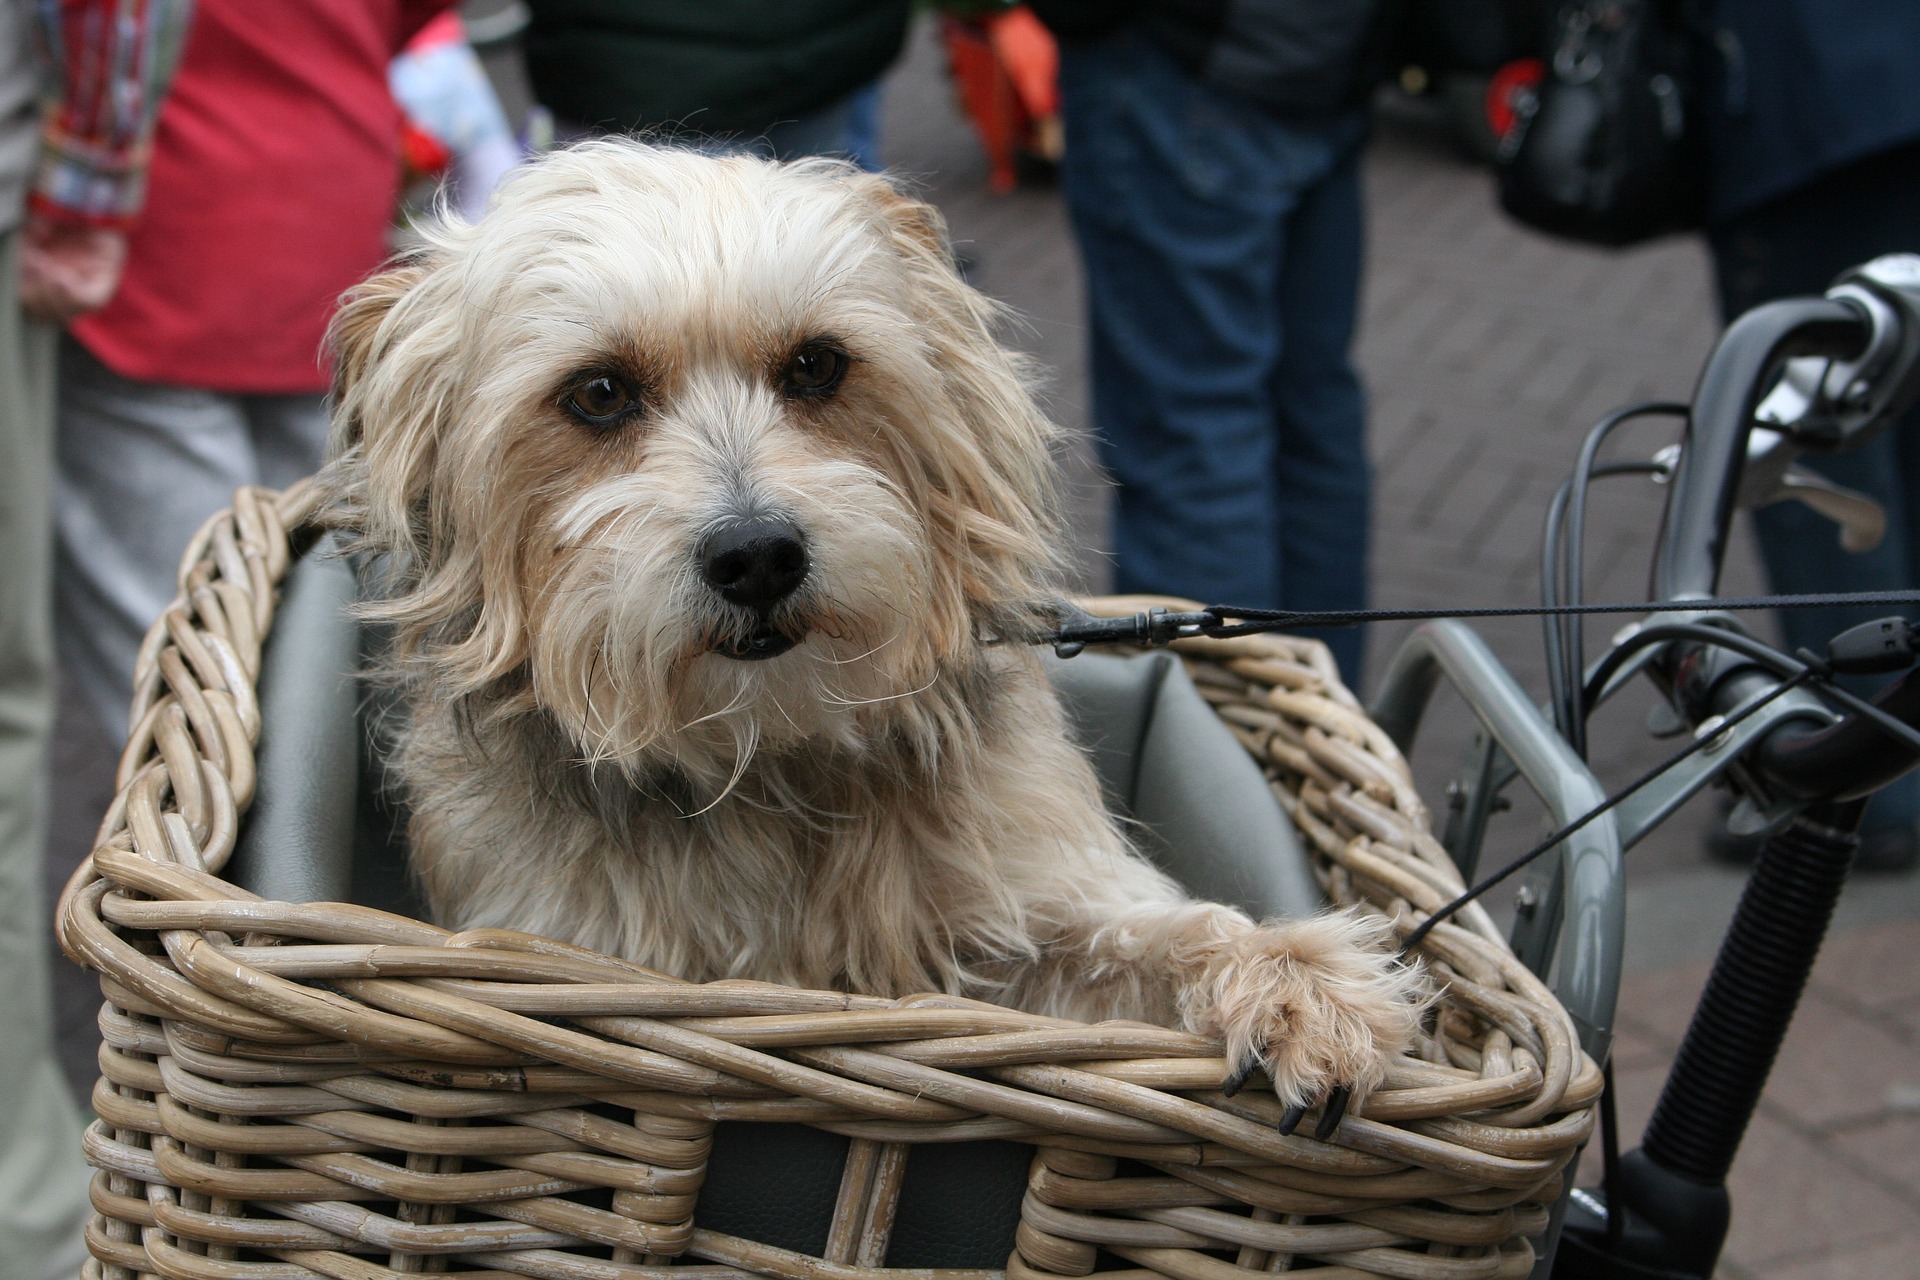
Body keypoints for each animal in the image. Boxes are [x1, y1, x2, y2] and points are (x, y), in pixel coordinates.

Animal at [318, 140, 1428, 1113]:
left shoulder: (1007, 932)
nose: (758, 555)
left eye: (817, 366)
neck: (763, 759)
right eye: (597, 392)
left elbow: (1142, 937)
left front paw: (1294, 978)